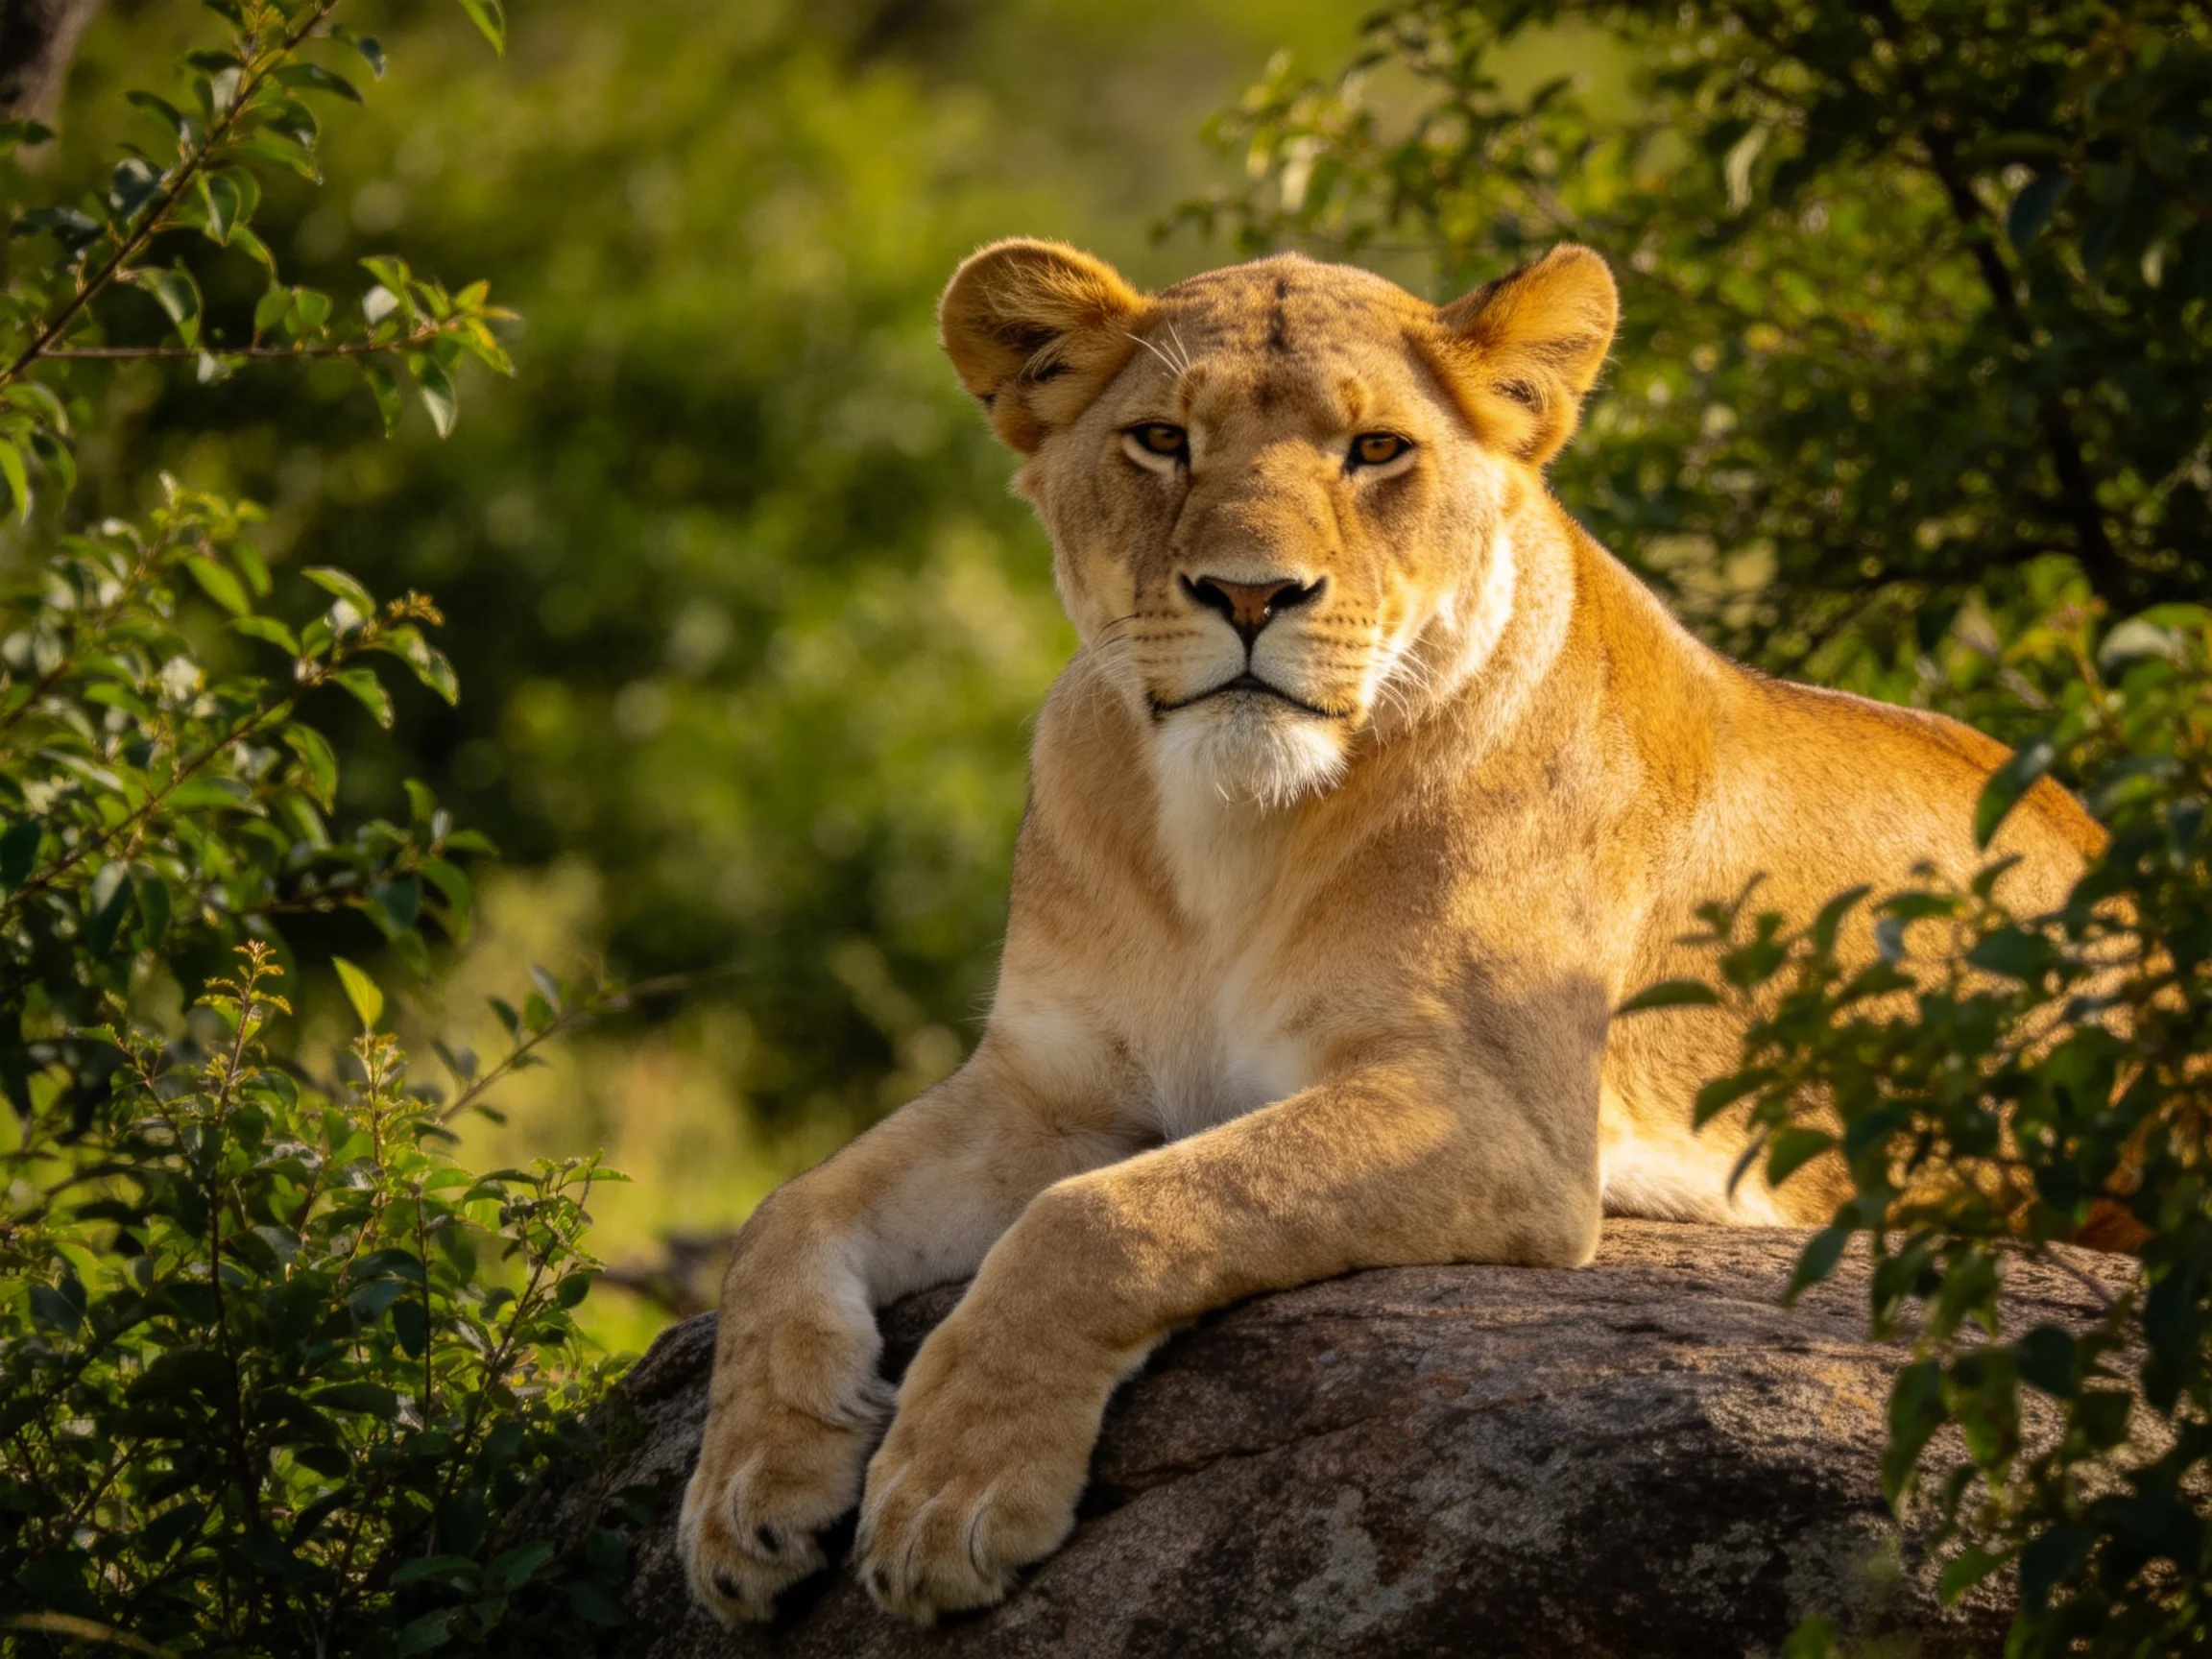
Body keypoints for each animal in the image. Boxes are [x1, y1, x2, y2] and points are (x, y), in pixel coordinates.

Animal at [677, 239, 2102, 1625]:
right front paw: (749, 1490)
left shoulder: (1495, 1113)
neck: (1230, 828)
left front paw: (951, 1490)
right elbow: (785, 1214)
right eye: (1161, 440)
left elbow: (1108, 1218)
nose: (1250, 595)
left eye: (1374, 450)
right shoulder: (1052, 1087)